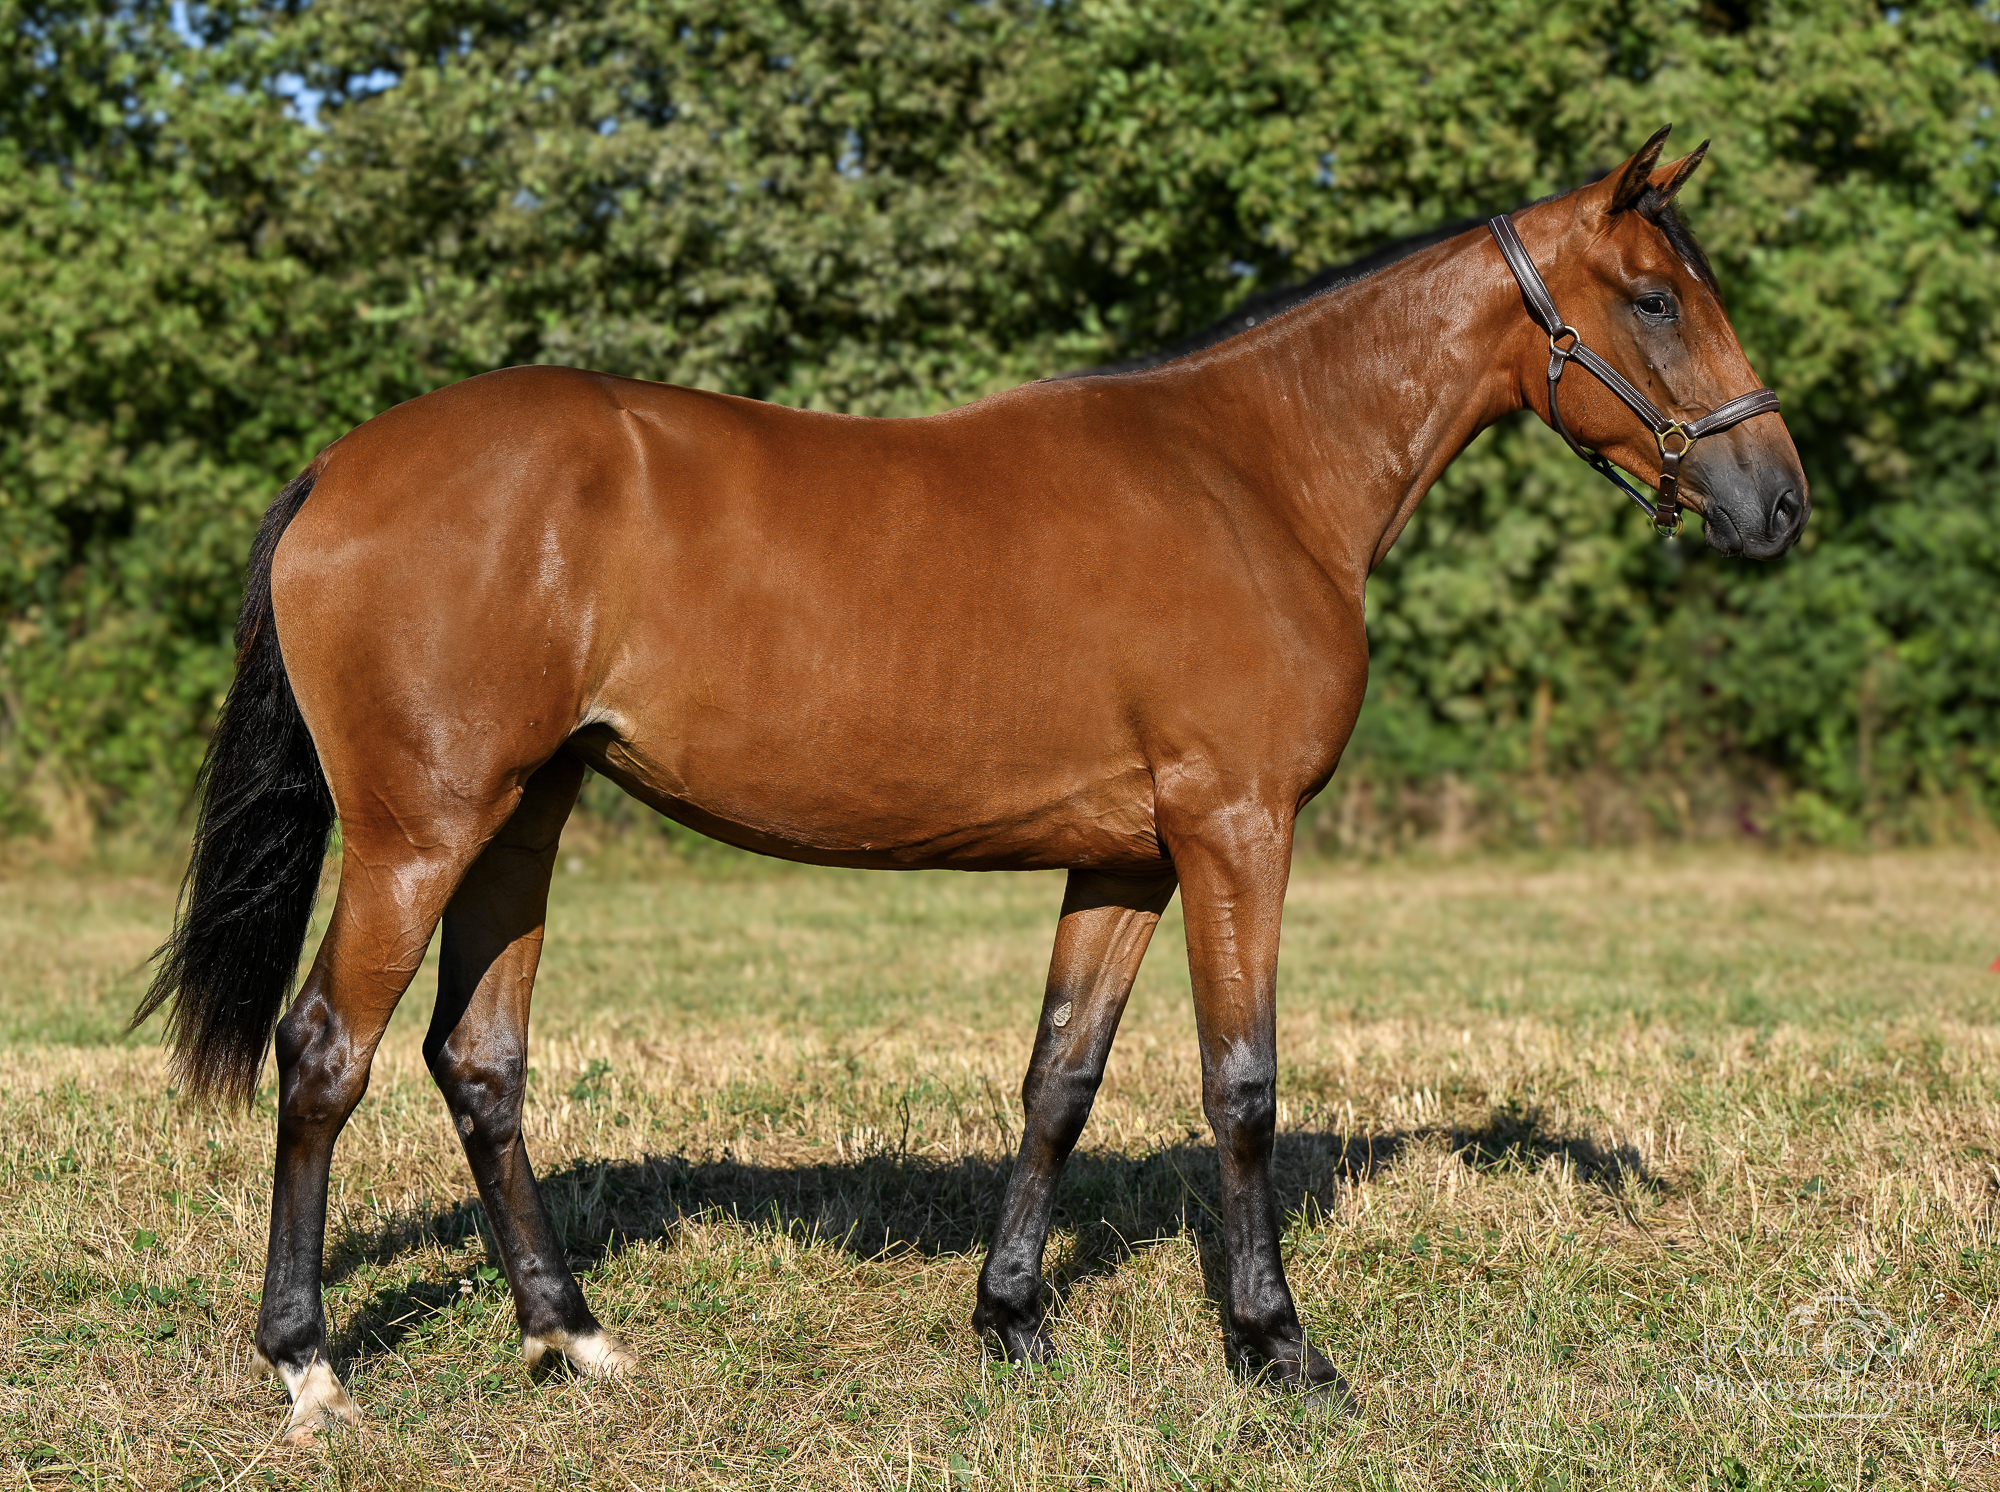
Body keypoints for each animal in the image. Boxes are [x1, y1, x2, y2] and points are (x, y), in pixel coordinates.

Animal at [133, 131, 1808, 1440]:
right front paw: (1279, 1350)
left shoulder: (1131, 856)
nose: (1779, 503)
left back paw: (575, 1337)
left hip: (519, 819)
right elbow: (1242, 1086)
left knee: (478, 1060)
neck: (1257, 473)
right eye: (1654, 299)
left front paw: (1011, 1321)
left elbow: (1060, 1078)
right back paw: (309, 1366)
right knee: (325, 1052)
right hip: (418, 830)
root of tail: (342, 469)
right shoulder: (1235, 827)